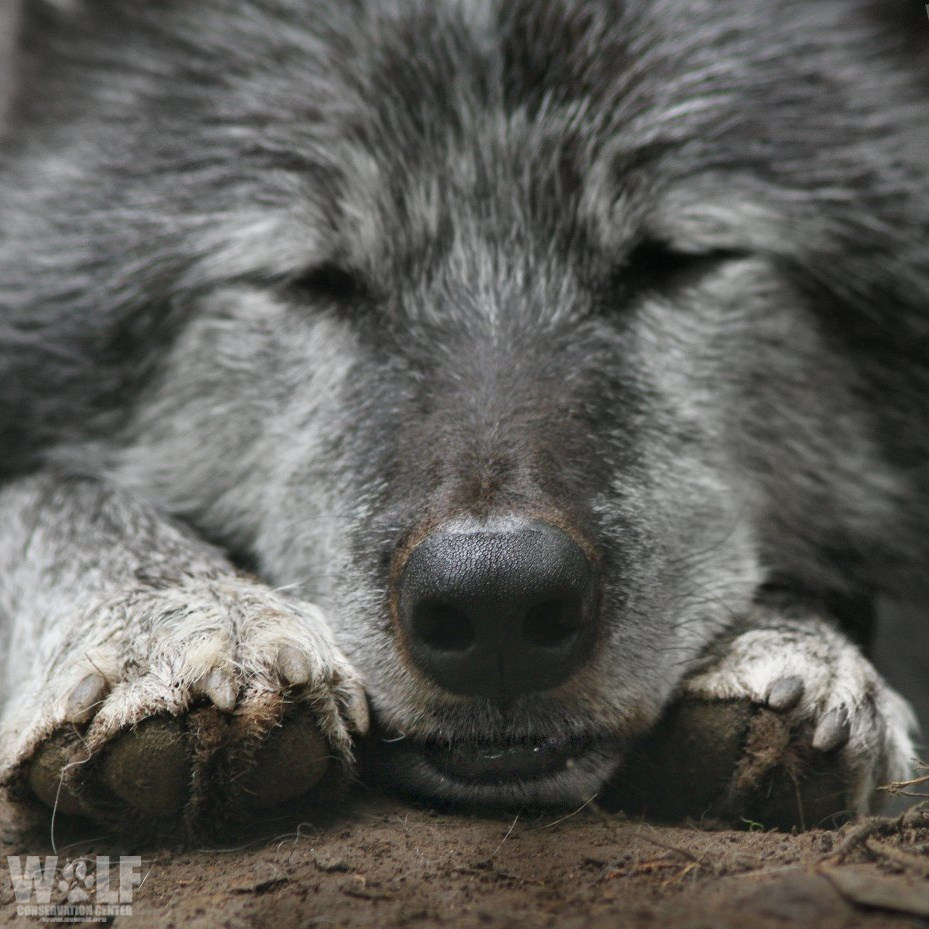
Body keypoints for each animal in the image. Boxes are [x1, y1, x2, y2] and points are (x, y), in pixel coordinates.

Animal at [0, 0, 926, 834]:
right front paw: (180, 618)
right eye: (313, 280)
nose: (497, 600)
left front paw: (791, 647)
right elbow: (44, 492)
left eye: (675, 262)